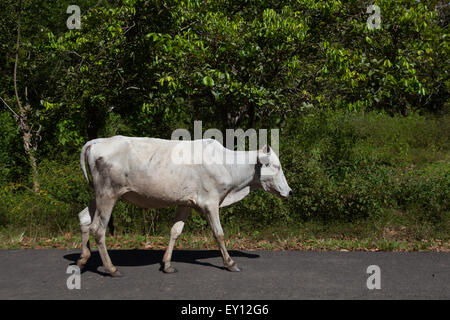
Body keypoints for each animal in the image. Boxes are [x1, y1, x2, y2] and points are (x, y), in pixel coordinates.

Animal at [77, 135, 292, 276]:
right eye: (277, 166)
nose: (290, 192)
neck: (228, 166)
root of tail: (97, 141)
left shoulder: (186, 202)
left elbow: (175, 231)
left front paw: (167, 264)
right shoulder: (210, 202)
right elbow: (219, 233)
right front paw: (230, 263)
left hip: (99, 194)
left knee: (84, 218)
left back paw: (82, 259)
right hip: (108, 193)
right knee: (98, 229)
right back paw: (111, 268)